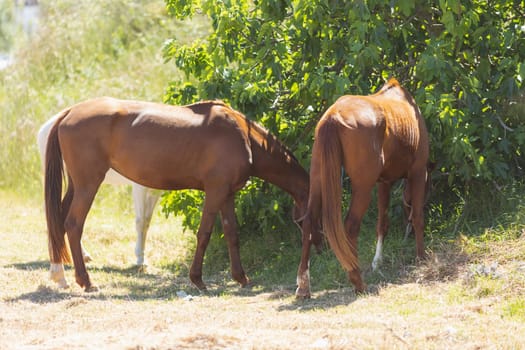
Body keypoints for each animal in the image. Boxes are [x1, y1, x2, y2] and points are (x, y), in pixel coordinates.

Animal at [294, 78, 430, 296]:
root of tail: (333, 117)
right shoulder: (418, 173)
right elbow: (418, 217)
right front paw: (421, 257)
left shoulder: (384, 182)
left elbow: (382, 224)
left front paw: (377, 263)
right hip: (363, 188)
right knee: (351, 226)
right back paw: (358, 281)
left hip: (318, 181)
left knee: (308, 222)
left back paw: (304, 286)